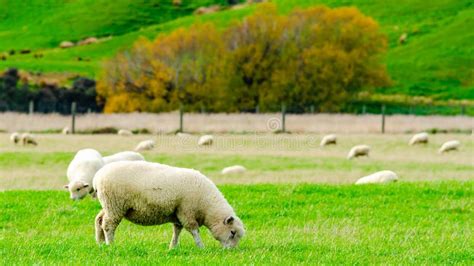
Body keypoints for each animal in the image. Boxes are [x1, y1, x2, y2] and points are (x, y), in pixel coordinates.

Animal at [94, 160, 246, 249]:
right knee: (108, 224)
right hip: (115, 204)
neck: (207, 206)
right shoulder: (186, 211)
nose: (232, 251)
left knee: (99, 220)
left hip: (108, 205)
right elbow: (194, 231)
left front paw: (173, 247)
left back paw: (100, 242)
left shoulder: (177, 213)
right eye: (232, 232)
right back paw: (110, 244)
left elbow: (177, 230)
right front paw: (201, 247)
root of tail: (97, 176)